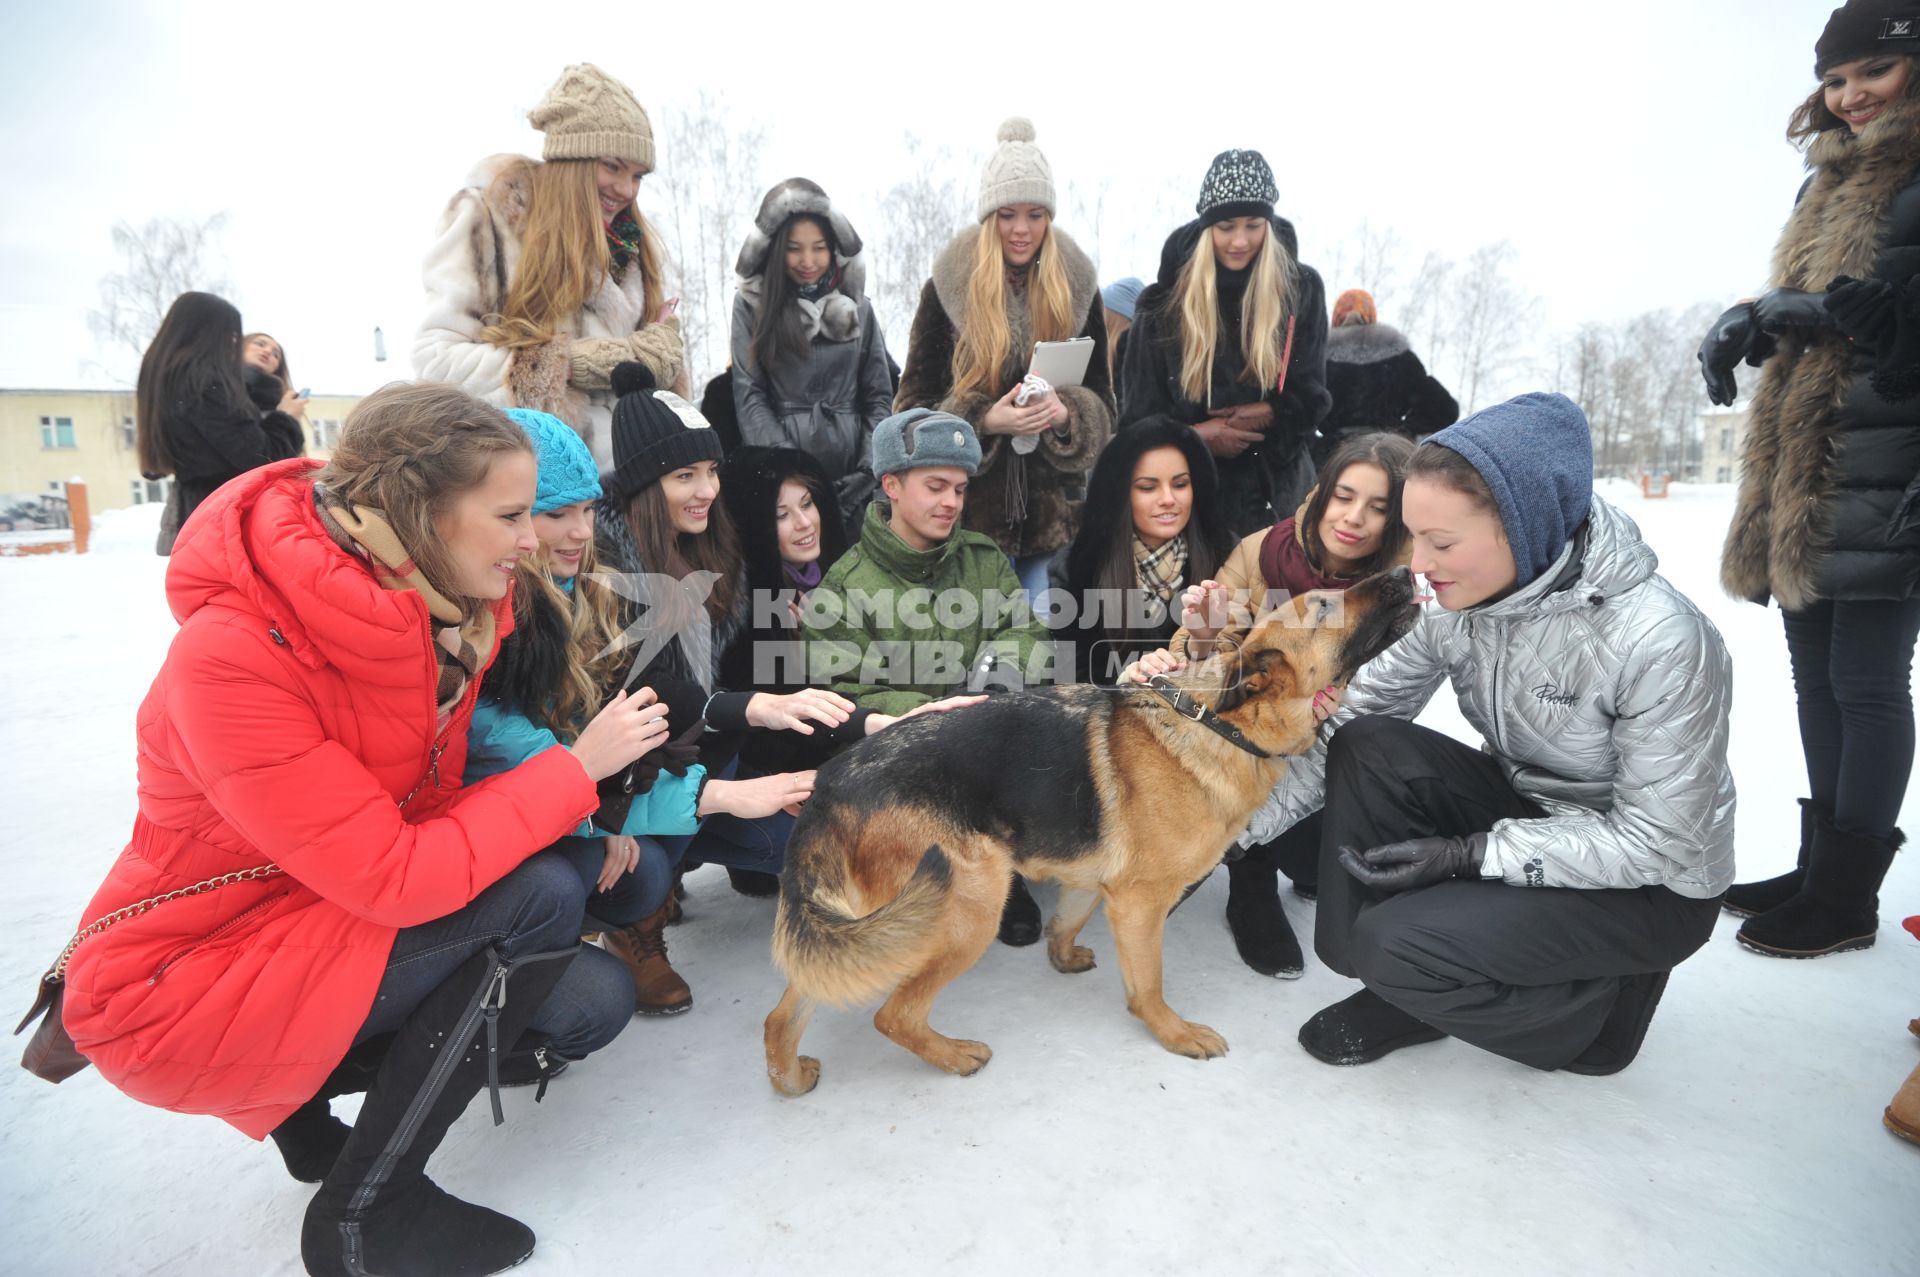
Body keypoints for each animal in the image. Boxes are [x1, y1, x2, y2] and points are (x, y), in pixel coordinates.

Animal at [756, 568, 1420, 1098]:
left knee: (787, 1009)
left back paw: (788, 1078)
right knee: (893, 1015)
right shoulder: (1140, 902)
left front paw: (1063, 956)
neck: (1221, 722)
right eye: (1325, 605)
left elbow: (1068, 919)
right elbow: (1148, 984)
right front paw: (1174, 1034)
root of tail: (828, 784)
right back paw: (955, 1055)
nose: (1404, 570)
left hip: (867, 927)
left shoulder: (1101, 883)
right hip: (965, 907)